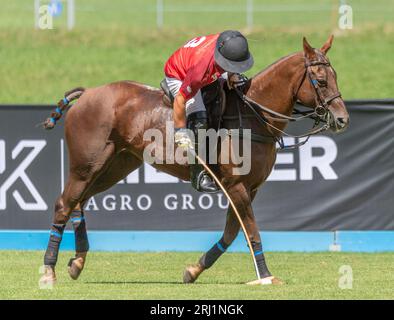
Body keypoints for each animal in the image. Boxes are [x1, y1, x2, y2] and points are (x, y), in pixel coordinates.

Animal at [39, 35, 348, 284]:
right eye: (321, 81)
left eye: (336, 76)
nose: (342, 119)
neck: (253, 116)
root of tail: (88, 93)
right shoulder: (236, 185)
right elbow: (251, 231)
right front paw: (266, 275)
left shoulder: (250, 188)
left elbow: (232, 233)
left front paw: (193, 270)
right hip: (86, 165)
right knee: (64, 203)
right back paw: (49, 270)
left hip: (115, 165)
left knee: (79, 202)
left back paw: (77, 262)